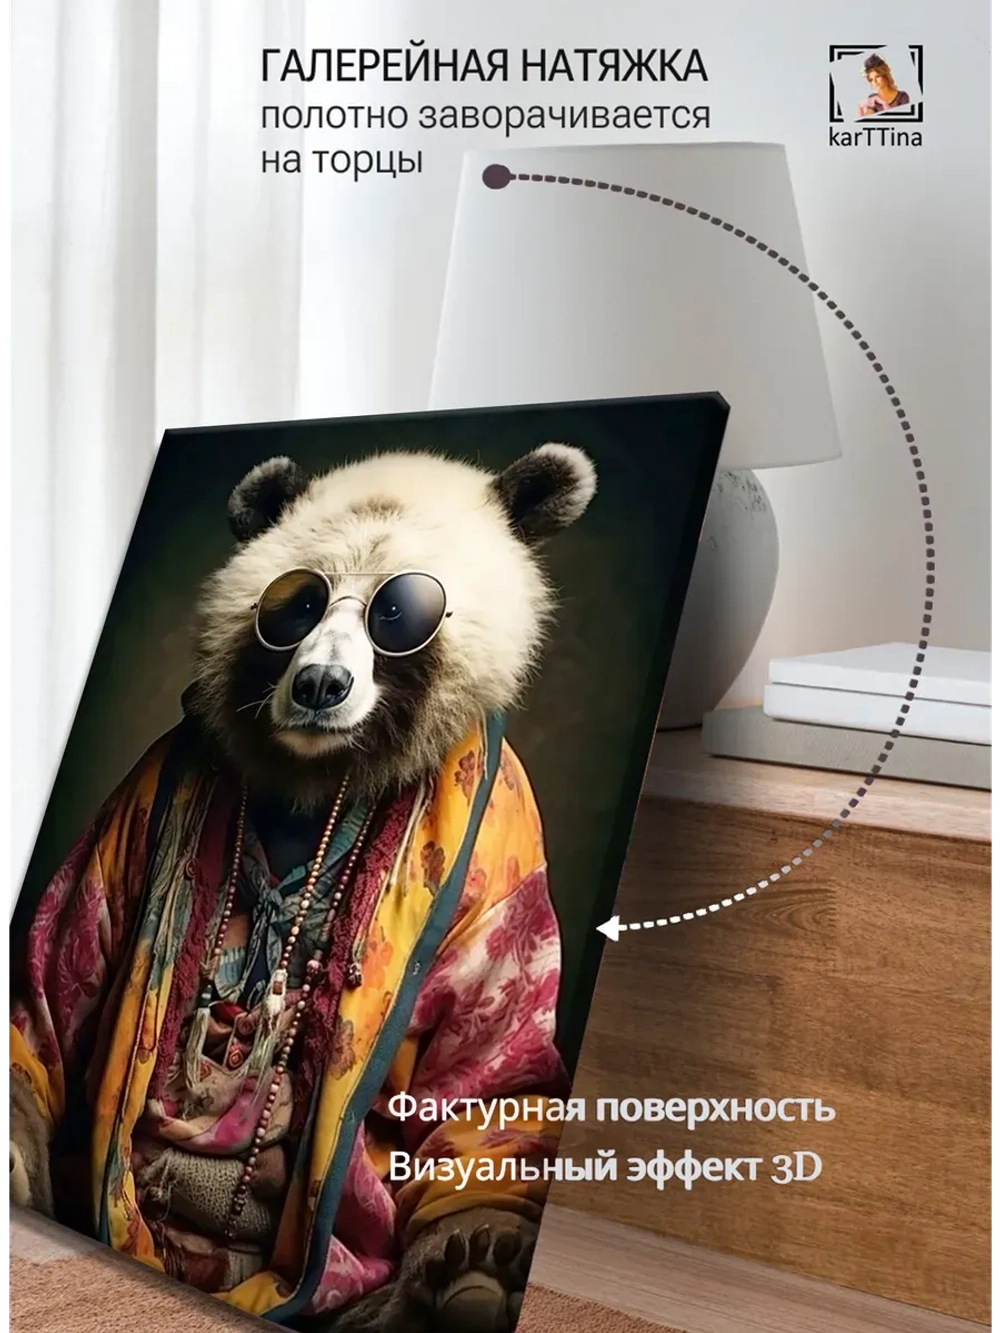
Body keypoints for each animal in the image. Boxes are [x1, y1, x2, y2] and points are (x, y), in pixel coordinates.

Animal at [8, 442, 597, 1332]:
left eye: (402, 612)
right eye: (297, 604)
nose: (320, 684)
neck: (317, 773)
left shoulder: (498, 831)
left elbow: (486, 1074)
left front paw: (481, 1247)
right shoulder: (148, 793)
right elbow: (63, 970)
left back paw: (465, 1277)